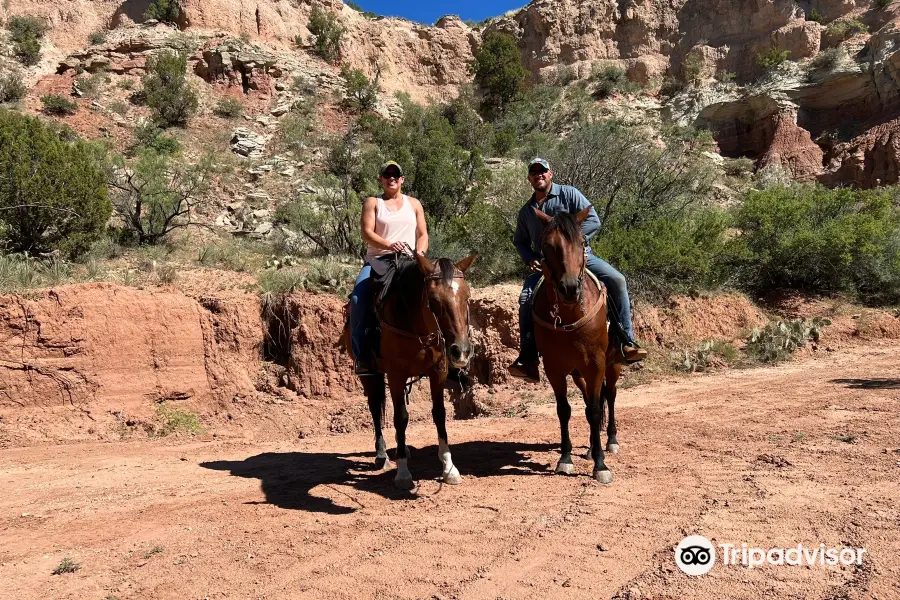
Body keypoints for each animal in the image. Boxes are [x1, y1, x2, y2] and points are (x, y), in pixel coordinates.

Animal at [532, 209, 624, 486]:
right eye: (547, 245)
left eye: (582, 243)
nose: (570, 288)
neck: (569, 317)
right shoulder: (555, 368)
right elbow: (565, 410)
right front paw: (565, 459)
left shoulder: (596, 363)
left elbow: (595, 411)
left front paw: (601, 466)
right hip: (578, 373)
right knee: (587, 401)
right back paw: (592, 449)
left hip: (612, 365)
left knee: (610, 396)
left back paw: (610, 441)